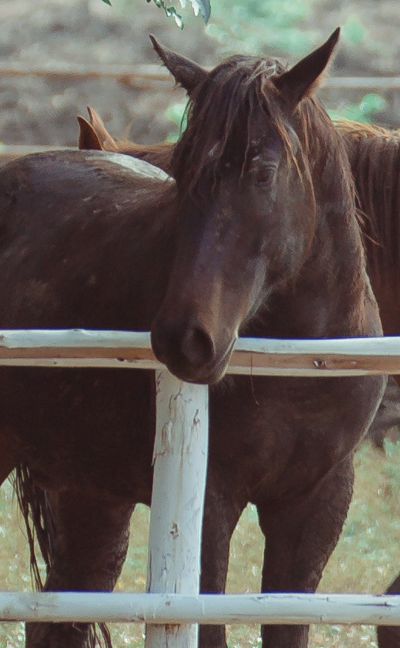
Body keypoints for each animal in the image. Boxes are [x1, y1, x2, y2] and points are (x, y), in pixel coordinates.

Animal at [0, 31, 386, 648]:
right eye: (182, 169)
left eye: (262, 171)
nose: (185, 338)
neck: (303, 365)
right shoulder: (210, 508)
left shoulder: (315, 507)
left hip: (90, 496)